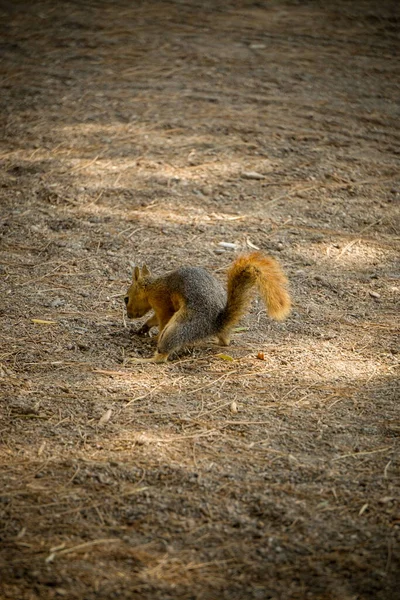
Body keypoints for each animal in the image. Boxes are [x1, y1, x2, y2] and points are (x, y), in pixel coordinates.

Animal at [125, 251, 290, 364]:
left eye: (126, 299)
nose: (128, 315)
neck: (152, 286)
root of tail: (216, 324)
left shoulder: (163, 305)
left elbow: (162, 321)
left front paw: (154, 337)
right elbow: (153, 319)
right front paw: (143, 328)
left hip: (183, 324)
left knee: (163, 354)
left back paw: (144, 359)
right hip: (217, 332)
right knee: (225, 341)